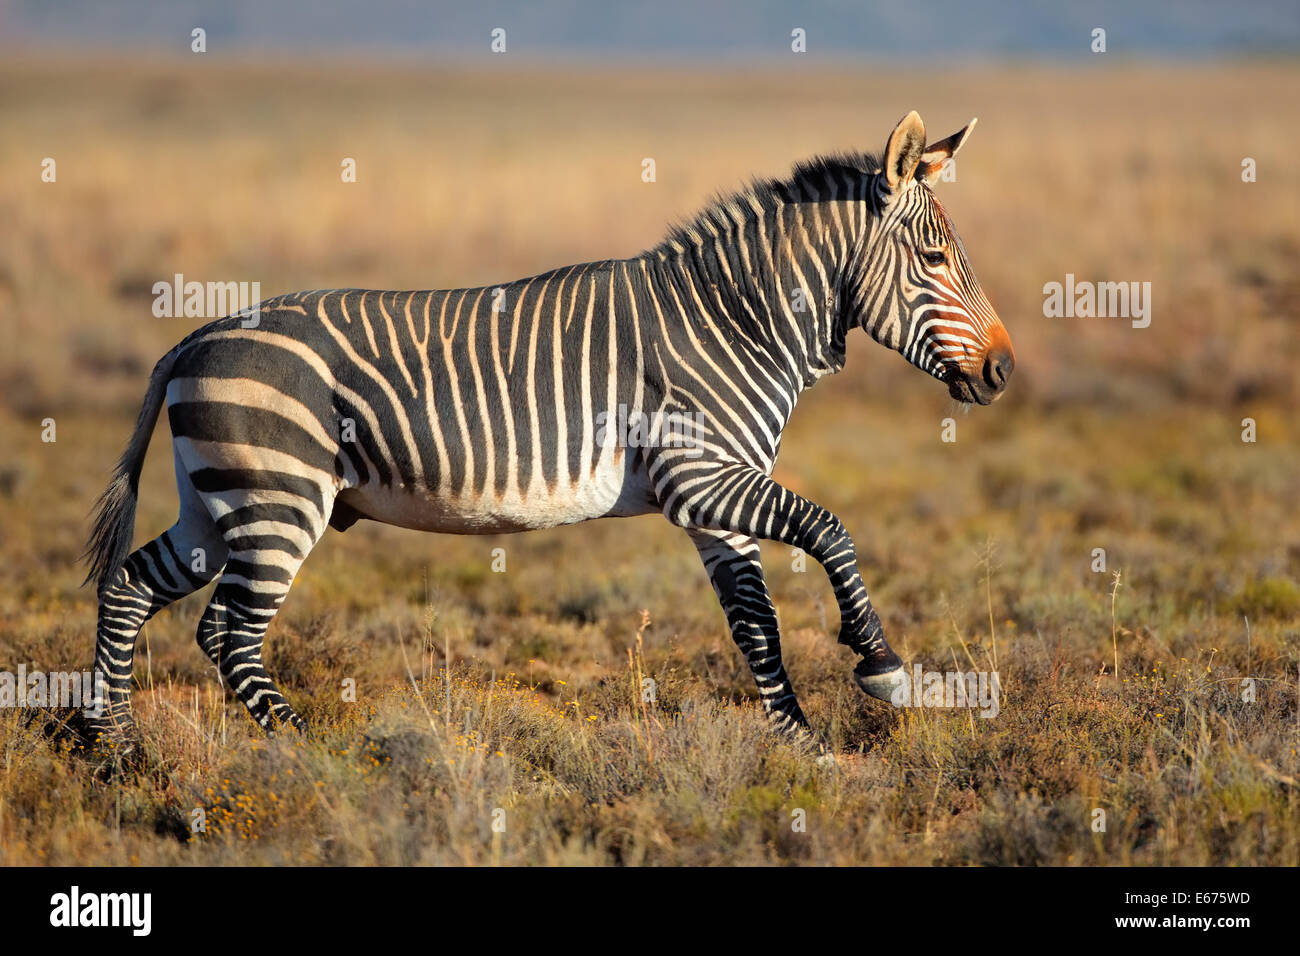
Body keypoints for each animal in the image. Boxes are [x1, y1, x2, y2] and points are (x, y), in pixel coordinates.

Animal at [81, 110, 1013, 749]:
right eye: (935, 260)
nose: (1003, 370)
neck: (735, 321)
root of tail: (197, 335)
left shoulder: (717, 504)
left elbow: (756, 623)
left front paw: (803, 748)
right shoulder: (700, 478)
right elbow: (831, 529)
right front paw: (883, 669)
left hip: (217, 505)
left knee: (129, 588)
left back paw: (114, 749)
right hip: (278, 501)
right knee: (228, 632)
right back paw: (306, 751)